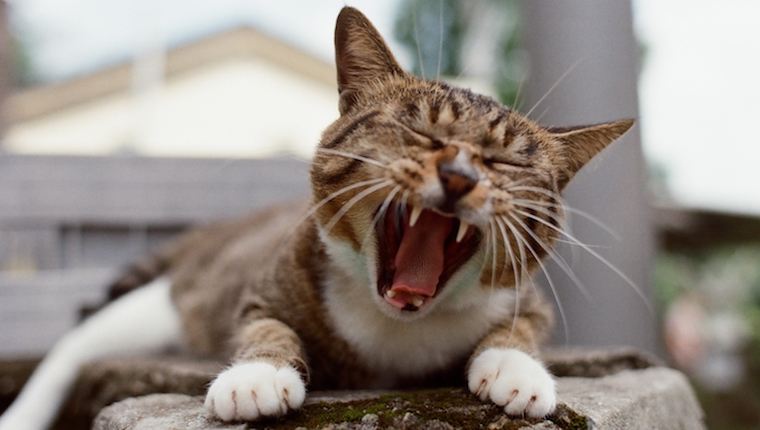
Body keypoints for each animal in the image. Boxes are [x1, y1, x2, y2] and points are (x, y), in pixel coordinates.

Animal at [0, 6, 632, 430]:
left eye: (502, 162)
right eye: (420, 133)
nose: (459, 175)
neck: (394, 327)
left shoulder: (530, 299)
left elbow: (520, 328)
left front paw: (514, 369)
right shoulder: (260, 287)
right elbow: (265, 327)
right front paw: (257, 376)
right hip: (162, 303)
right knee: (74, 346)